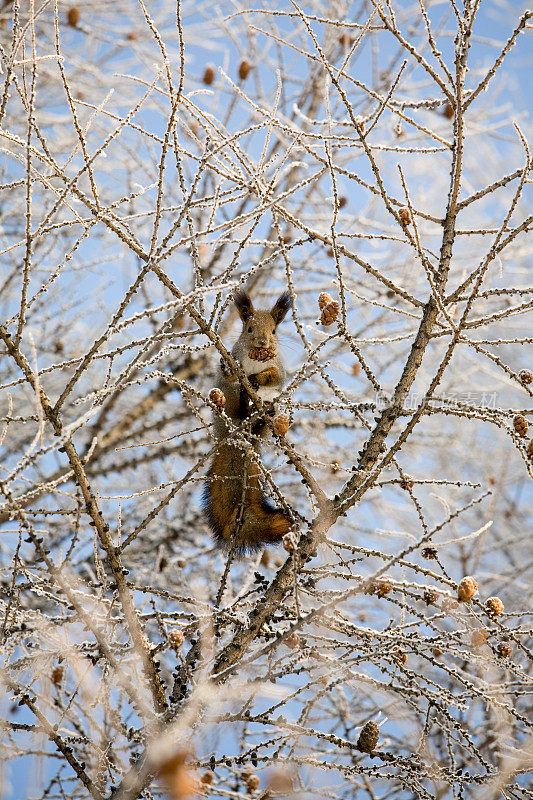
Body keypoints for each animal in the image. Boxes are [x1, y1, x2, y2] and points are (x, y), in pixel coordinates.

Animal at [204, 290, 294, 552]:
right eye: (249, 328)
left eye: (274, 330)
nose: (263, 343)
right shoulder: (236, 358)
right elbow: (230, 372)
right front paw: (229, 369)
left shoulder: (278, 369)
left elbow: (273, 376)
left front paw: (257, 379)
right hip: (228, 398)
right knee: (236, 401)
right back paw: (245, 402)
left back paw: (264, 413)